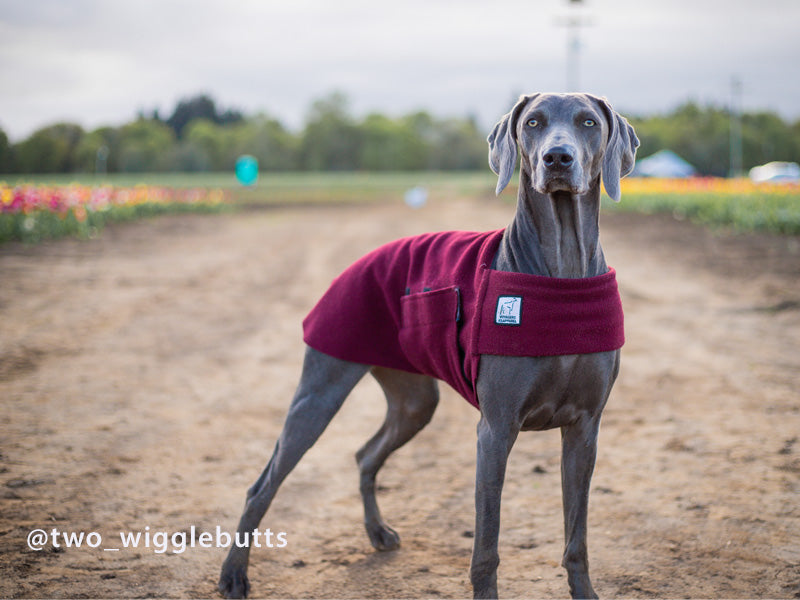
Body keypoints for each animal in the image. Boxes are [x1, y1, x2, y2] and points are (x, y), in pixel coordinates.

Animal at [217, 91, 636, 596]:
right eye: (533, 123)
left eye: (588, 122)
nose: (557, 158)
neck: (562, 272)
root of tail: (358, 262)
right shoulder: (496, 430)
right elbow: (486, 546)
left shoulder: (584, 429)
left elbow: (577, 538)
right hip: (320, 391)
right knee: (262, 484)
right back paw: (233, 574)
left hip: (414, 400)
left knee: (365, 454)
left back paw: (377, 532)